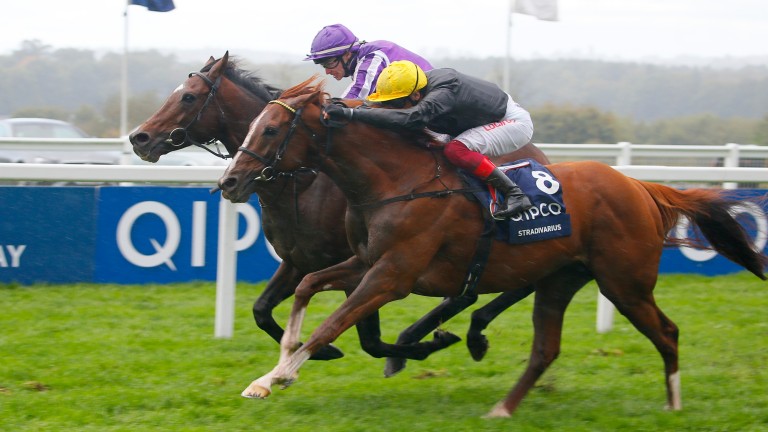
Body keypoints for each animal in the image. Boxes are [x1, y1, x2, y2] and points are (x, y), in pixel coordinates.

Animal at [129, 51, 548, 374]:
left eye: (188, 98)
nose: (139, 138)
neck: (304, 182)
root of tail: (538, 151)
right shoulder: (299, 260)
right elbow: (261, 309)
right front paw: (322, 350)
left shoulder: (364, 264)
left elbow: (371, 339)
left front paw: (415, 349)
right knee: (476, 291)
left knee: (519, 282)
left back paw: (463, 335)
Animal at [218, 78, 768, 418]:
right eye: (253, 124)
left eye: (271, 128)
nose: (228, 182)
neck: (397, 181)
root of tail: (641, 187)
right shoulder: (365, 262)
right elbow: (308, 287)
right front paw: (277, 368)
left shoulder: (393, 276)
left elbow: (332, 322)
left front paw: (277, 377)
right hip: (561, 277)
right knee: (545, 346)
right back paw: (501, 405)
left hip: (624, 282)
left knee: (667, 332)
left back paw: (673, 403)